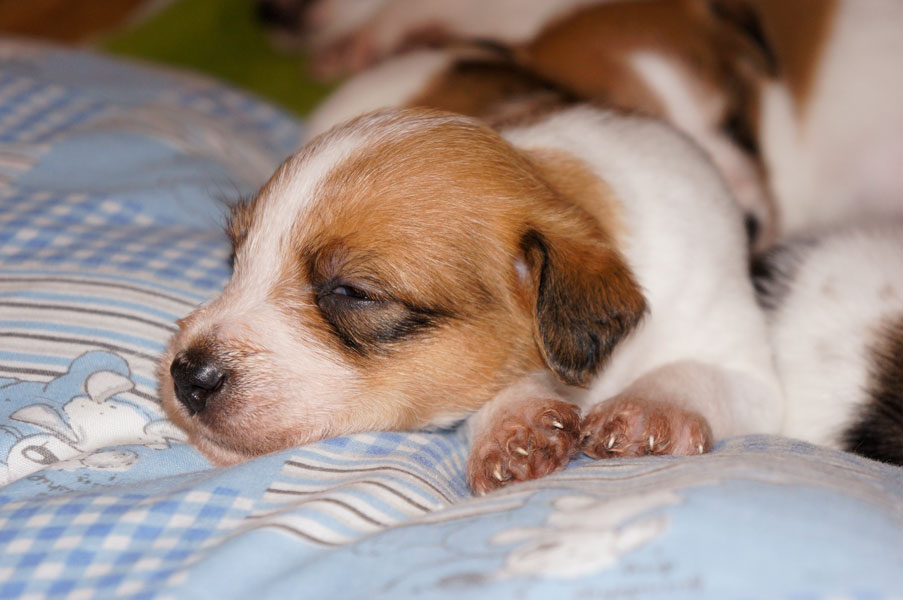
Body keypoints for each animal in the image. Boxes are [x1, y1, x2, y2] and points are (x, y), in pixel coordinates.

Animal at [159, 105, 783, 494]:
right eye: (237, 257)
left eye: (352, 292)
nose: (186, 376)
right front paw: (515, 424)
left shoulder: (752, 366)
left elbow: (691, 372)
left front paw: (648, 411)